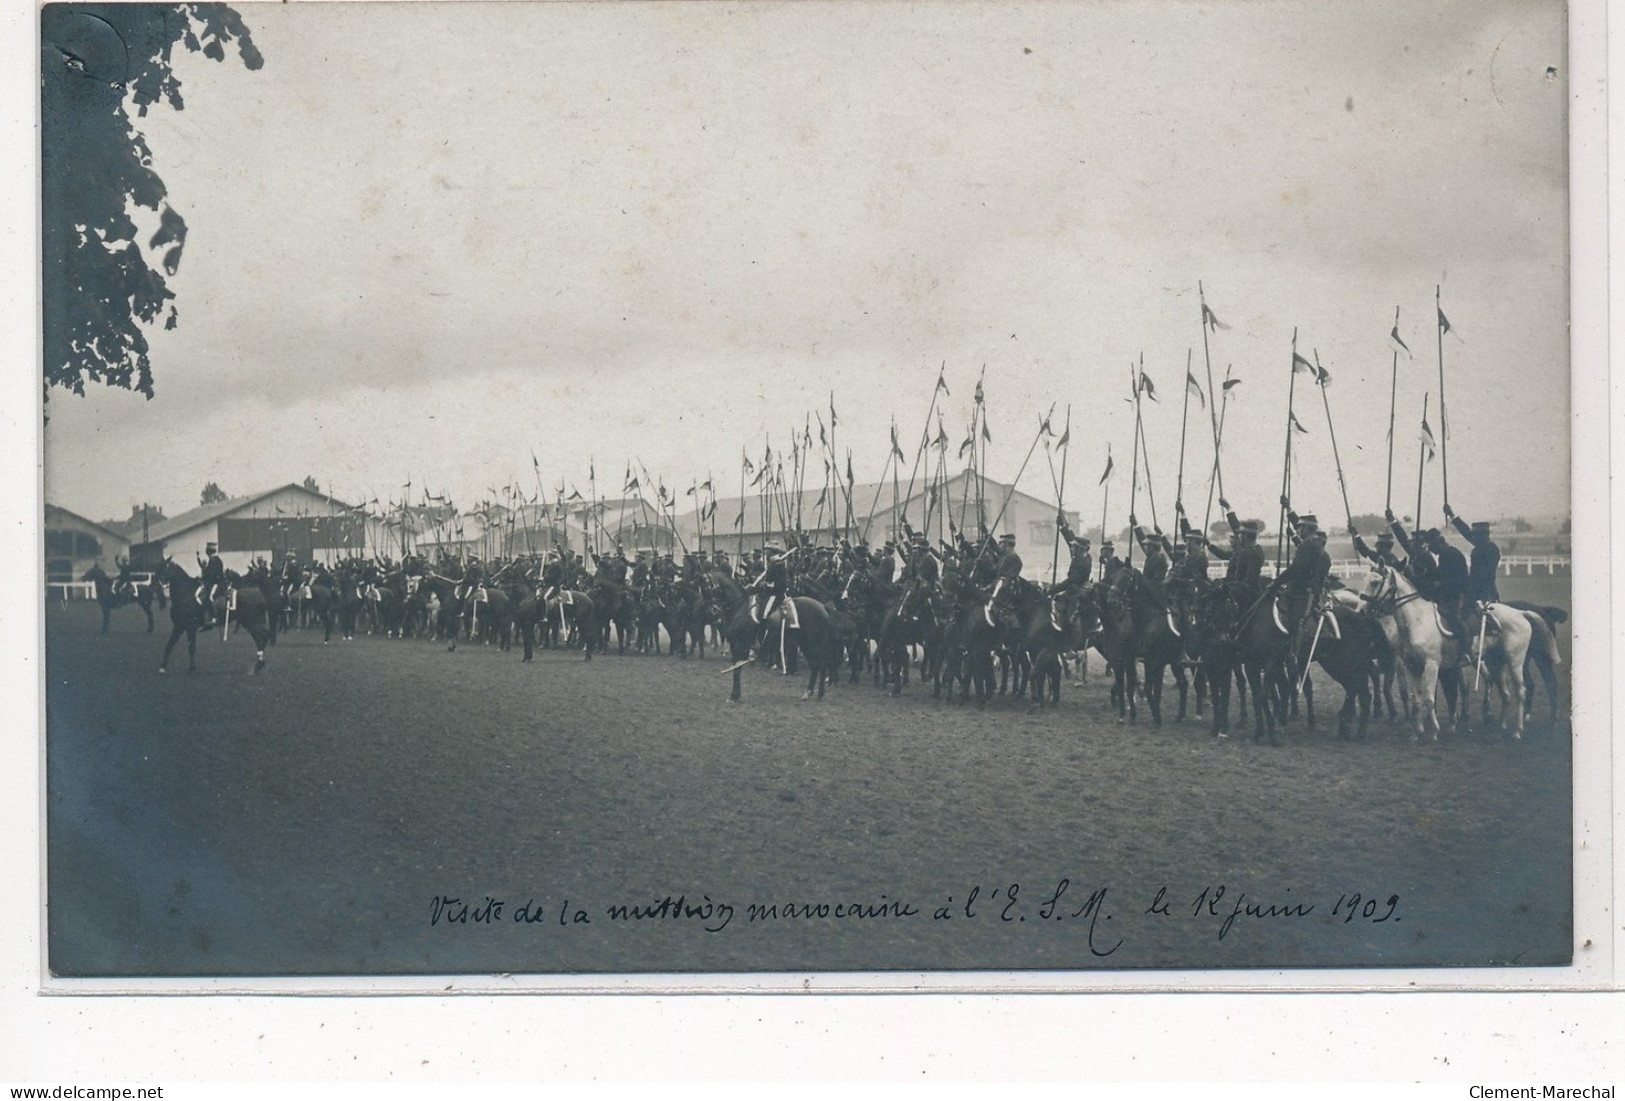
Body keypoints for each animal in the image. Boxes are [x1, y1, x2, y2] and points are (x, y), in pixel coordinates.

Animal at [1365, 568, 1527, 740]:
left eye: (1375, 582)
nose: (1363, 608)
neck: (1418, 620)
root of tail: (1520, 613)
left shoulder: (1431, 665)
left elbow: (1429, 698)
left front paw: (1434, 731)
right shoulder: (1413, 667)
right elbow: (1417, 700)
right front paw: (1417, 733)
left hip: (1515, 662)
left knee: (1520, 693)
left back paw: (1517, 731)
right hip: (1498, 663)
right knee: (1505, 693)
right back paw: (1502, 726)